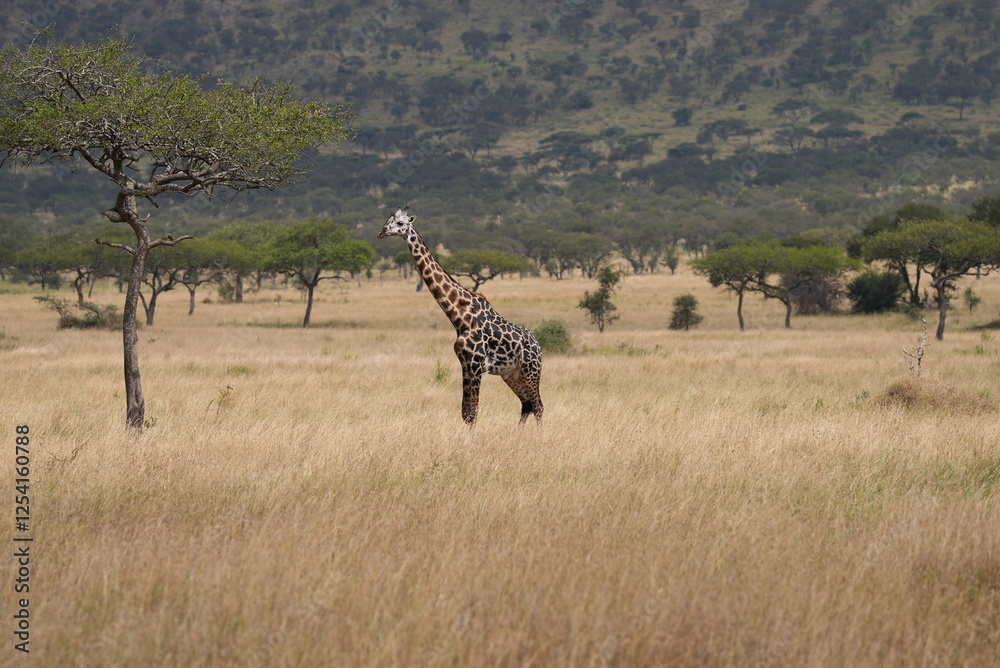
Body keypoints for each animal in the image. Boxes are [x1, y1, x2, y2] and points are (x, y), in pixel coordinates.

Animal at [378, 206, 543, 426]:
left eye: (400, 223)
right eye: (388, 220)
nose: (381, 232)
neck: (460, 317)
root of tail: (539, 346)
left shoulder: (475, 364)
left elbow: (473, 413)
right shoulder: (465, 363)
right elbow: (466, 413)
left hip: (531, 370)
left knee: (538, 406)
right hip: (511, 374)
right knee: (527, 405)